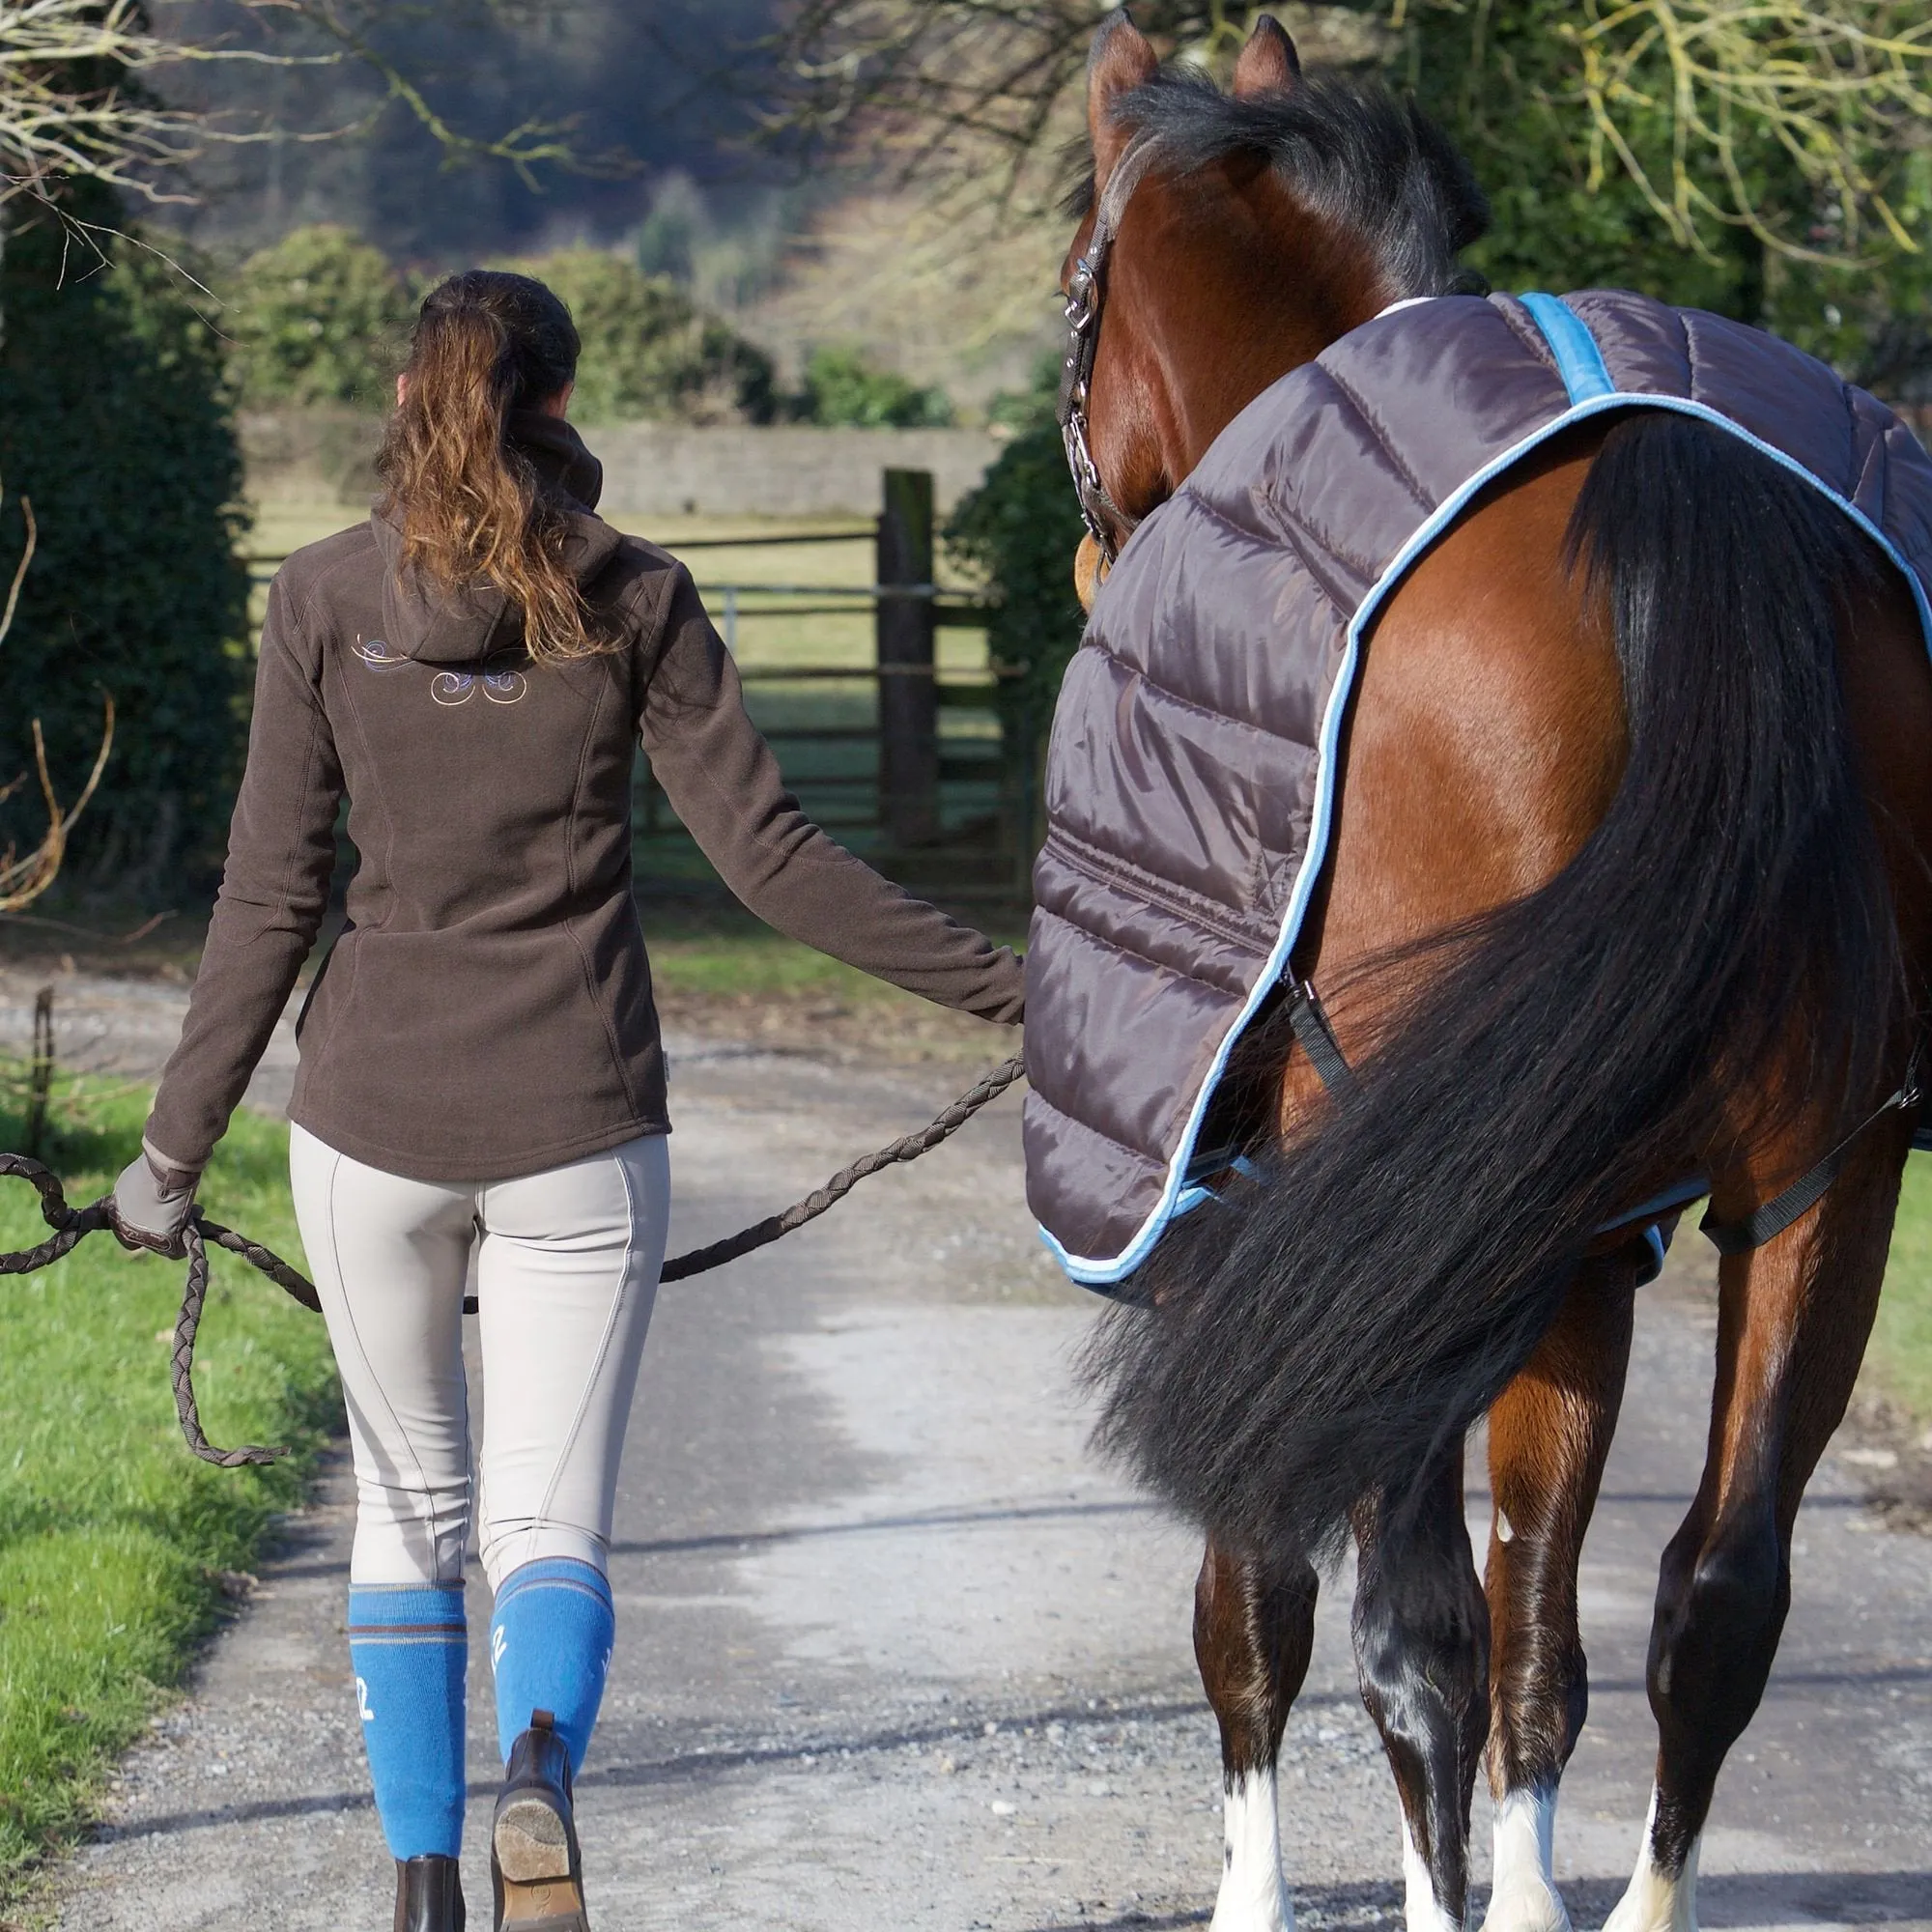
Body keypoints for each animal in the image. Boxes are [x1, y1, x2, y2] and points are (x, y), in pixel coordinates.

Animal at [1074, 14, 1932, 1932]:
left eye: (1079, 289)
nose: (1096, 541)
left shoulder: (1293, 1214)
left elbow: (1268, 1603)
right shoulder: (1585, 1249)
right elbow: (1548, 1622)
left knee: (1415, 1633)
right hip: (1822, 1181)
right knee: (1715, 1598)